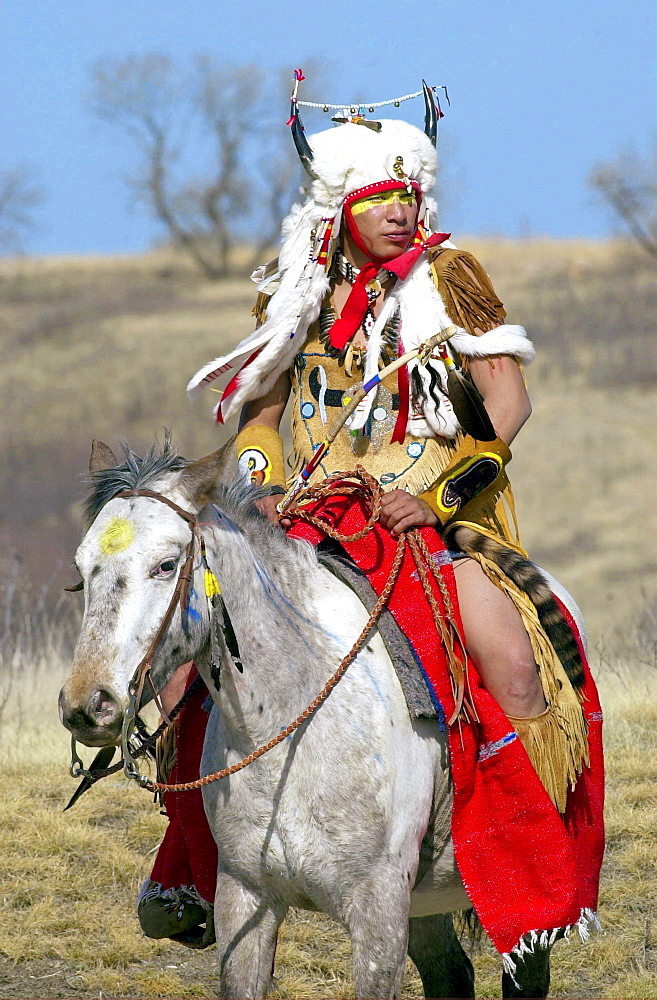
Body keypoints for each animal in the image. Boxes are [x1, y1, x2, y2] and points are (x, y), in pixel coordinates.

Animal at [60, 444, 560, 1000]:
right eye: (82, 570)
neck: (286, 732)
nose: (88, 704)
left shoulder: (378, 914)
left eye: (166, 565)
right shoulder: (245, 898)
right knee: (450, 973)